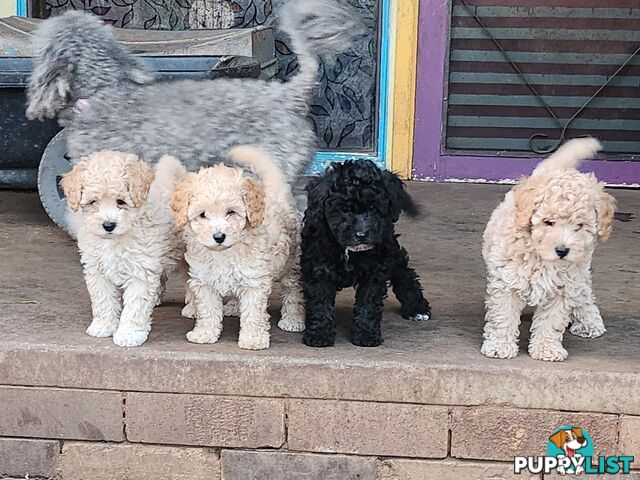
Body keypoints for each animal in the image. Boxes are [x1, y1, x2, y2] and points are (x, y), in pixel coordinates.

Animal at [61, 152, 191, 346]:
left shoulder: (140, 271)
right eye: (93, 202)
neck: (114, 240)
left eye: (121, 201)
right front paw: (103, 326)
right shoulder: (97, 269)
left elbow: (135, 306)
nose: (108, 225)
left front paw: (129, 334)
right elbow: (103, 300)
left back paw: (192, 308)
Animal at [170, 144, 304, 350]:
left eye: (231, 212)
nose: (219, 237)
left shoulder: (254, 280)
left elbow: (254, 313)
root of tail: (277, 193)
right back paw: (234, 306)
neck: (224, 253)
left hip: (291, 262)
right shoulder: (204, 280)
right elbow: (207, 310)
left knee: (293, 291)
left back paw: (293, 319)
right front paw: (205, 334)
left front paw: (253, 339)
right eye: (202, 215)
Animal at [302, 159, 432, 346]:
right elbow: (320, 302)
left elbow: (368, 303)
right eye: (344, 209)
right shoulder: (318, 269)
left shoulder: (375, 270)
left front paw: (366, 335)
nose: (361, 235)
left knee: (404, 273)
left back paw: (417, 308)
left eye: (373, 208)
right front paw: (319, 335)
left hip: (389, 248)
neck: (348, 251)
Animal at [482, 138, 616, 360]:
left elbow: (552, 320)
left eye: (579, 226)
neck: (540, 255)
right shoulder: (507, 280)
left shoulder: (564, 286)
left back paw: (589, 322)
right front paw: (499, 345)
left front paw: (546, 348)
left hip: (581, 272)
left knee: (585, 294)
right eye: (548, 222)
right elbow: (503, 315)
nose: (562, 250)